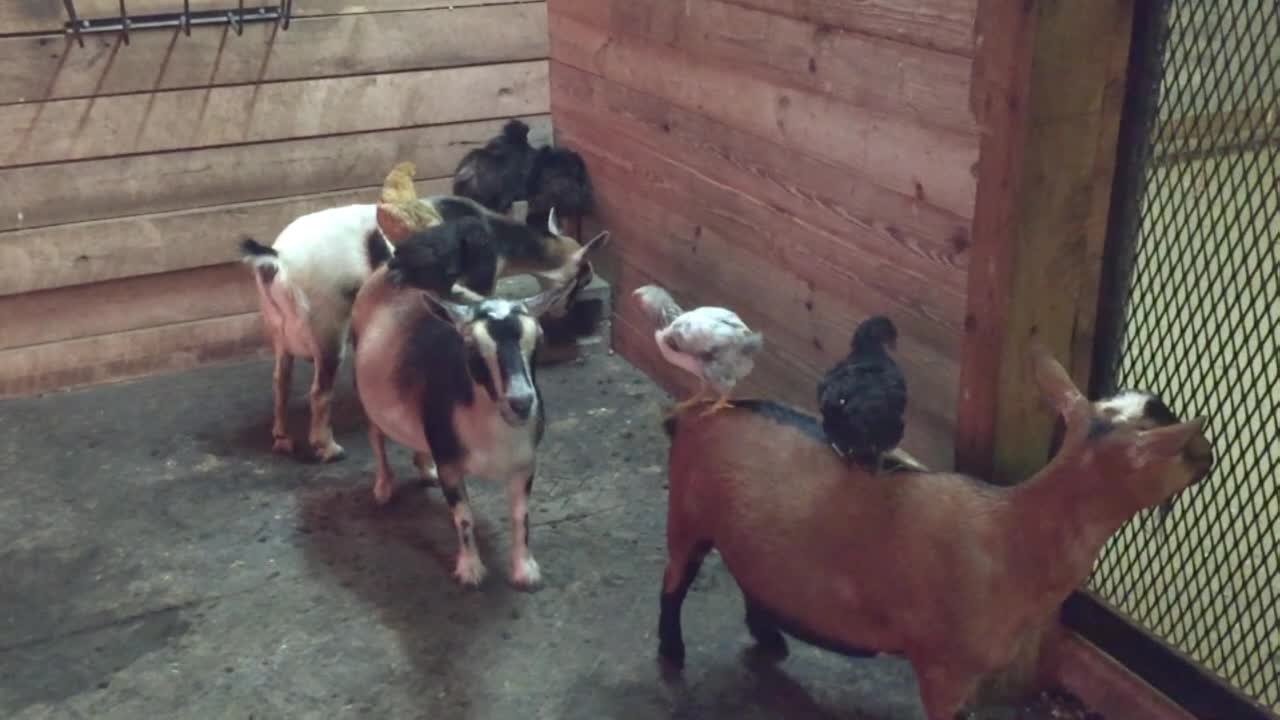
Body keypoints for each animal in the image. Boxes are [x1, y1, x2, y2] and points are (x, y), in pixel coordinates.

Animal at [350, 233, 609, 586]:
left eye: (538, 341)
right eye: (471, 348)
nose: (521, 402)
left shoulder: (524, 465)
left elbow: (520, 516)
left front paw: (525, 570)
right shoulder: (450, 465)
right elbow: (464, 519)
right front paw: (470, 570)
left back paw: (424, 469)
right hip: (364, 391)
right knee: (375, 436)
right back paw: (383, 488)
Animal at [655, 343, 1213, 717]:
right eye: (1179, 444)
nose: (1209, 456)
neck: (1014, 532)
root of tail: (692, 415)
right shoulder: (943, 671)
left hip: (746, 534)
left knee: (749, 575)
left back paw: (770, 639)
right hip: (686, 513)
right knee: (674, 583)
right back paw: (672, 653)